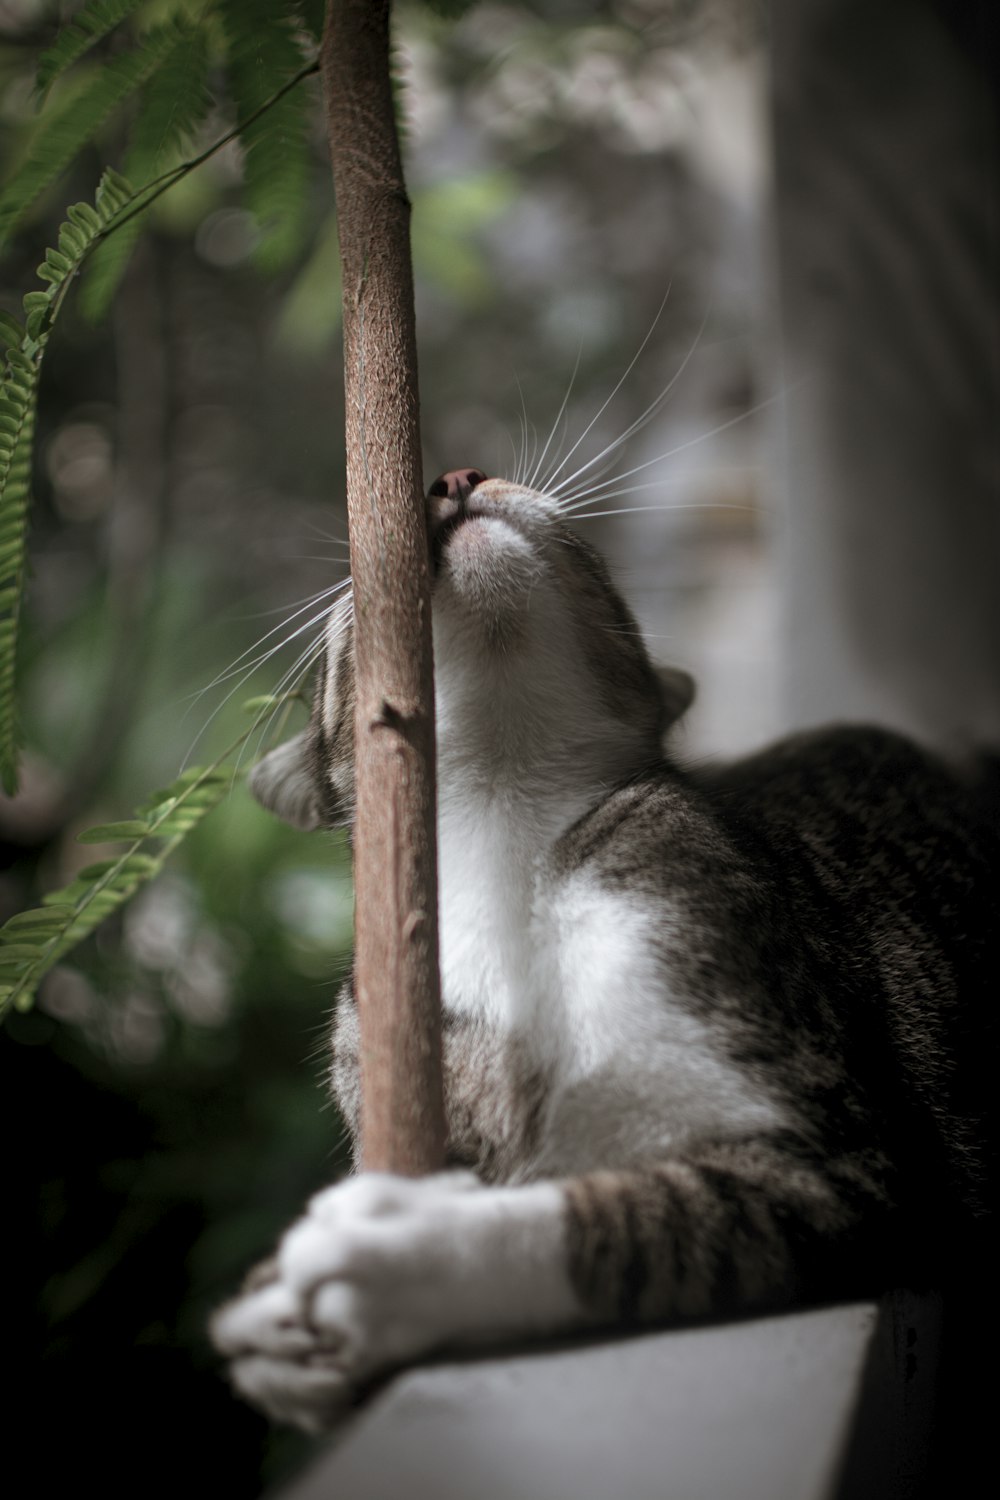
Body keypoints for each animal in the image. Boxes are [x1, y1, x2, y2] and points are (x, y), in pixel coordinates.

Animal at [211, 465, 995, 1428]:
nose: (455, 473)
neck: (508, 856)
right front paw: (273, 1335)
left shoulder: (860, 1167)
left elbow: (623, 1218)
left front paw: (398, 1258)